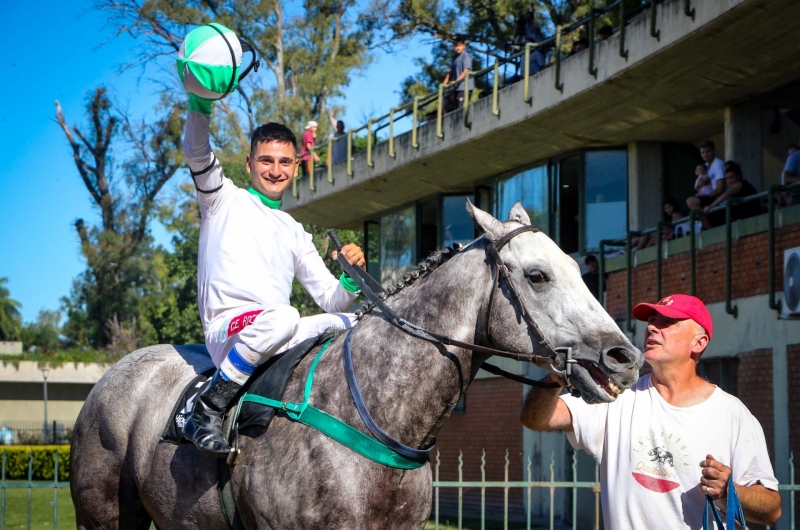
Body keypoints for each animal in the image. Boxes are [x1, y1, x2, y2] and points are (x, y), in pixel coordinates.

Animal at [69, 200, 644, 524]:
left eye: (575, 264)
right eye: (537, 275)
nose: (624, 356)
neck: (370, 412)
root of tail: (113, 377)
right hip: (105, 514)